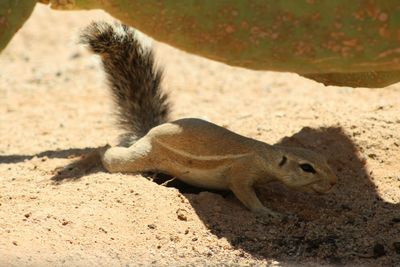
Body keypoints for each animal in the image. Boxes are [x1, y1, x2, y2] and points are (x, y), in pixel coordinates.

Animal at [66, 20, 338, 218]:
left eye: (326, 160)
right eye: (306, 167)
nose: (334, 182)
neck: (266, 155)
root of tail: (150, 130)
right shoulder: (241, 172)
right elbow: (245, 194)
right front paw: (268, 212)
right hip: (142, 155)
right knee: (113, 158)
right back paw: (94, 155)